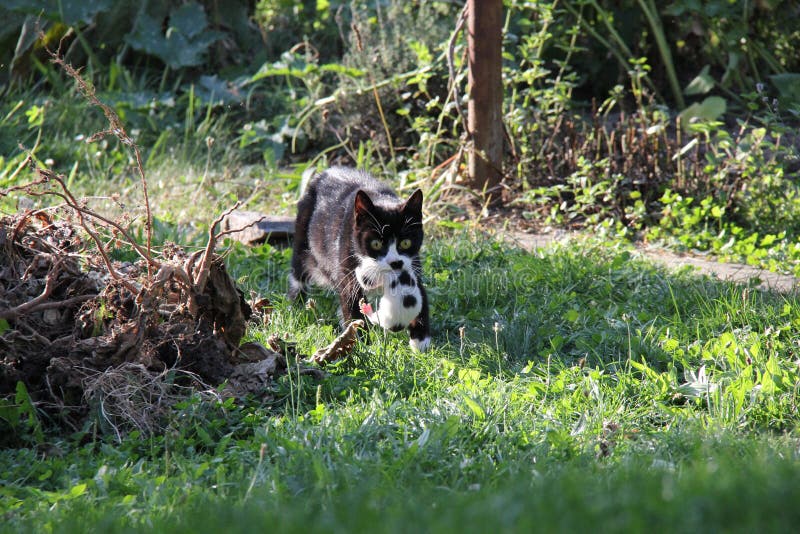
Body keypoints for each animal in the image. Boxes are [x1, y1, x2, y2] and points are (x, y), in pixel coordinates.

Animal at [290, 168, 432, 352]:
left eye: (405, 242)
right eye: (376, 244)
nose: (395, 263)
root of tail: (325, 172)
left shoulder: (412, 264)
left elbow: (419, 293)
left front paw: (421, 340)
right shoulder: (347, 269)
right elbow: (351, 302)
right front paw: (361, 343)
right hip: (302, 234)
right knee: (298, 273)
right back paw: (296, 306)